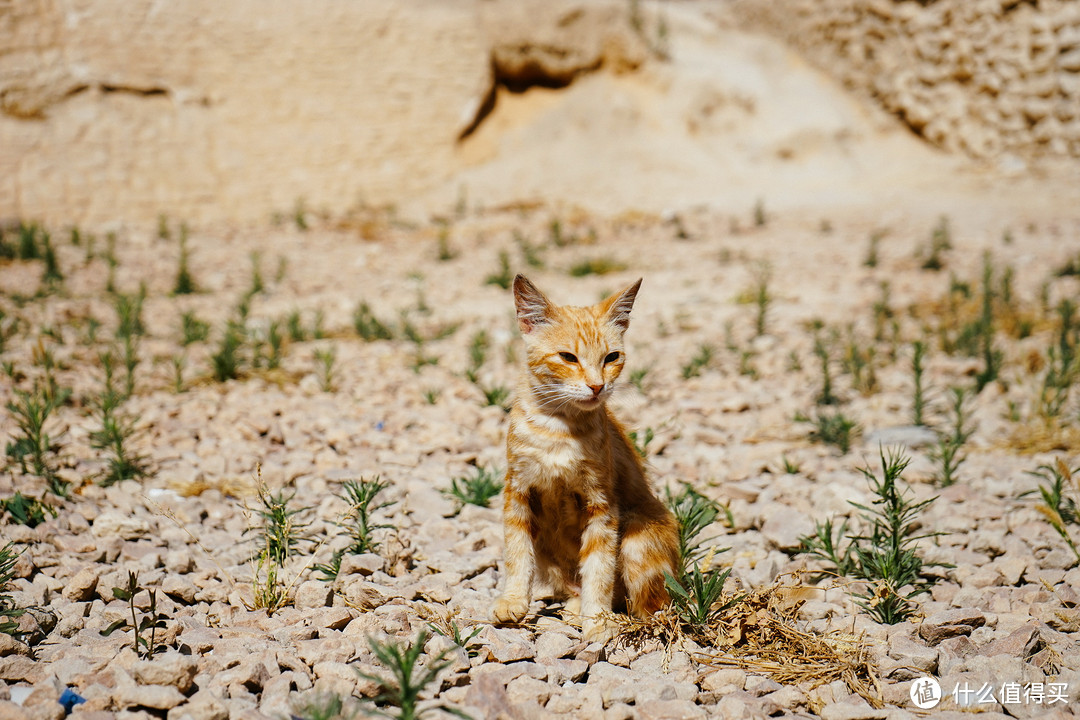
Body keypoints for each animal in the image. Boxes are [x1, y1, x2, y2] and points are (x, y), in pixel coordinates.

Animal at [494, 273, 678, 639]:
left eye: (612, 357)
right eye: (568, 357)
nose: (597, 387)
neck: (558, 430)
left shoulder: (602, 504)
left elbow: (598, 566)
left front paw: (597, 620)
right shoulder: (516, 491)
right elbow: (517, 552)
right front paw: (513, 600)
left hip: (636, 532)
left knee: (649, 608)